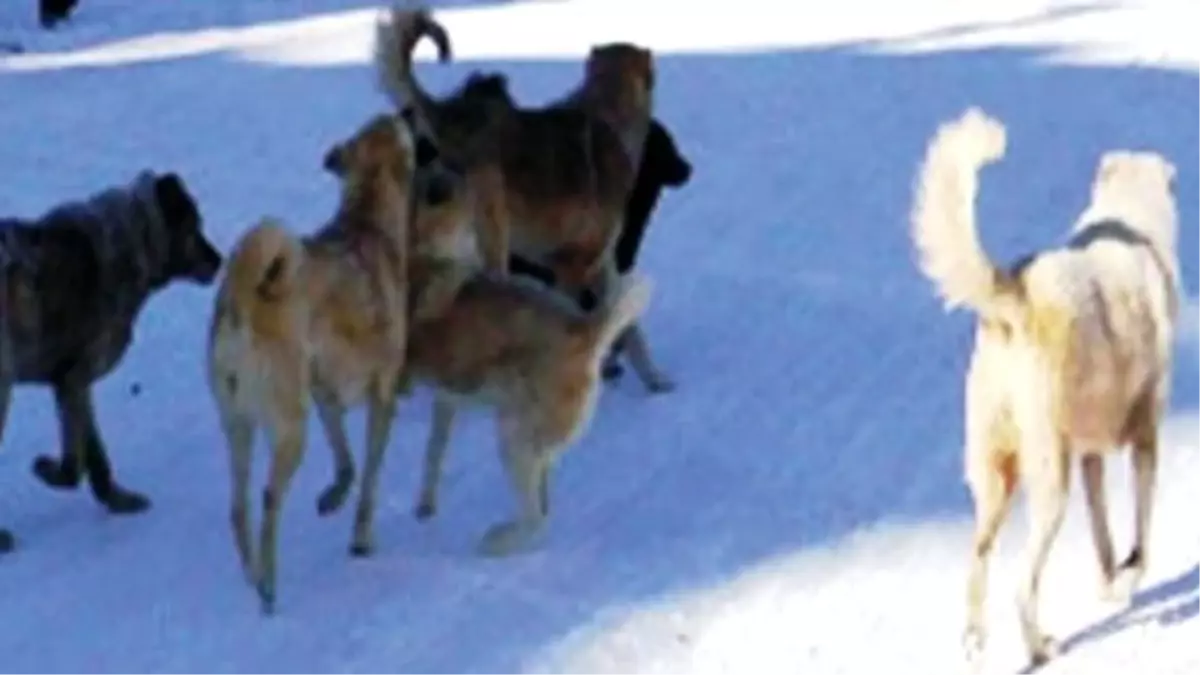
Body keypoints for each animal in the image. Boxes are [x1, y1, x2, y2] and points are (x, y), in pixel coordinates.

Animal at [0, 169, 223, 552]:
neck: (133, 238)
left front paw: (117, 501)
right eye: (195, 226)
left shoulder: (73, 384)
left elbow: (95, 455)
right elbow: (75, 464)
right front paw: (47, 469)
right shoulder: (74, 379)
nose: (219, 260)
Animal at [204, 115, 451, 614]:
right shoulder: (381, 398)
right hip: (289, 428)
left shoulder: (325, 394)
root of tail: (242, 300)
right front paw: (360, 538)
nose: (410, 114)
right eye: (408, 134)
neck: (366, 217)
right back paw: (269, 587)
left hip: (238, 423)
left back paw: (253, 576)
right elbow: (368, 478)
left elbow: (346, 461)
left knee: (238, 507)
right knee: (268, 499)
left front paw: (332, 498)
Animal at [912, 107, 1176, 662]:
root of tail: (1015, 295)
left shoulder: (1092, 454)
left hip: (995, 476)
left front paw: (1109, 583)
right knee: (1022, 586)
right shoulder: (1145, 438)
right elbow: (1140, 532)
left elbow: (1103, 531)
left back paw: (975, 642)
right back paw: (1040, 649)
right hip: (1049, 480)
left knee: (979, 557)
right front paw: (1127, 579)